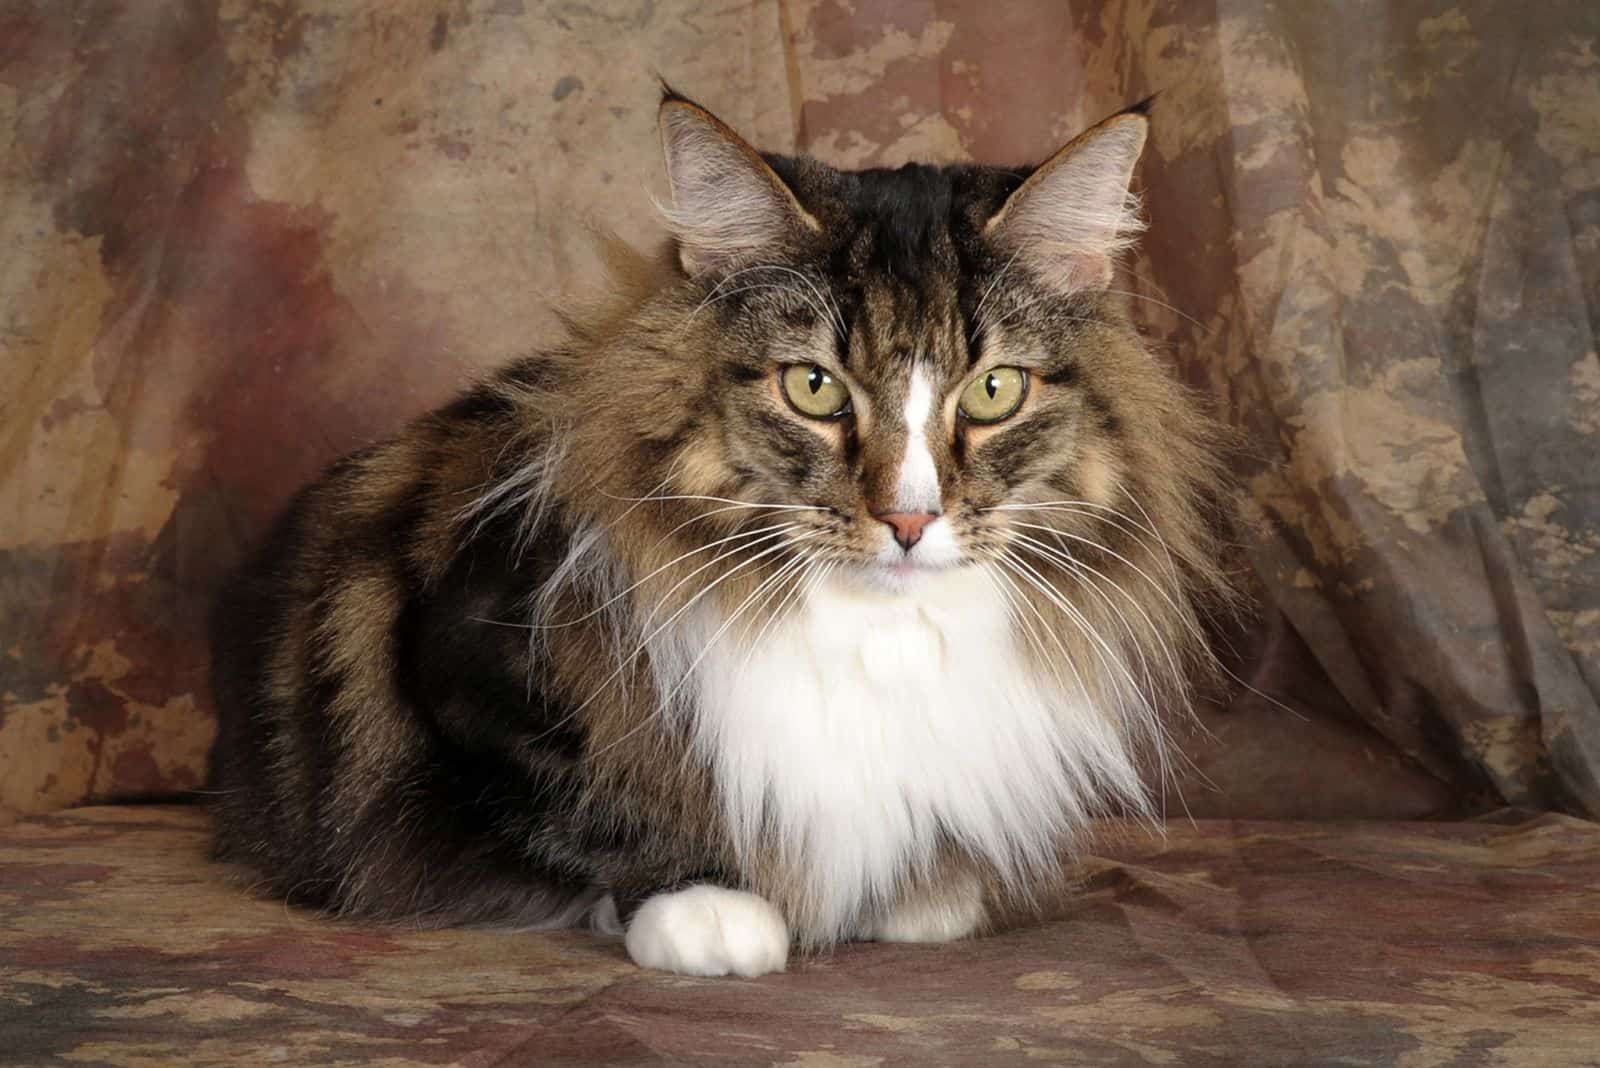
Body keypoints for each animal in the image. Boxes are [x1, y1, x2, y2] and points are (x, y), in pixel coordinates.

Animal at [209, 89, 1235, 978]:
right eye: (814, 387)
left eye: (992, 391)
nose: (909, 518)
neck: (877, 634)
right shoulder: (466, 661)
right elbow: (603, 804)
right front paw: (712, 909)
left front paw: (923, 890)